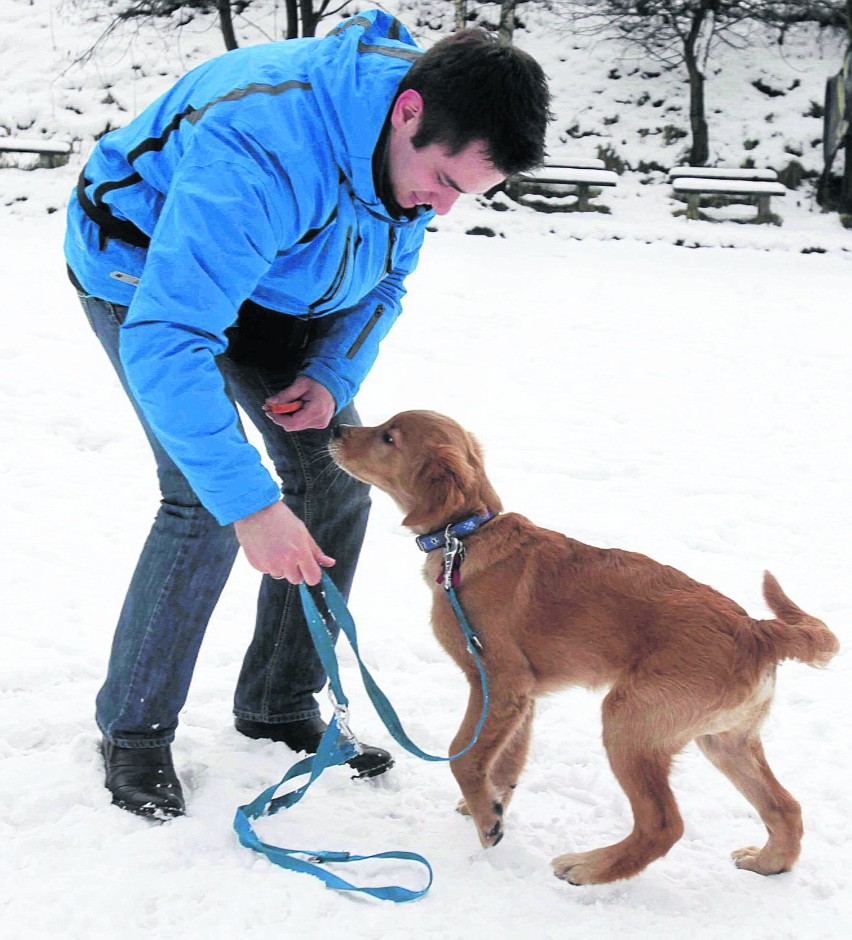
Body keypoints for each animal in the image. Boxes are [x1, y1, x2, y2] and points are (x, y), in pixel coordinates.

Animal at [328, 410, 840, 880]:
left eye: (388, 437)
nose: (334, 428)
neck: (465, 537)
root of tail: (757, 629)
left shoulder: (498, 682)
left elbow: (467, 757)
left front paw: (486, 823)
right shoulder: (522, 698)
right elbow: (506, 762)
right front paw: (490, 806)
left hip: (629, 720)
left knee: (663, 824)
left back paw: (590, 868)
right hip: (724, 739)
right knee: (784, 806)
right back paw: (768, 862)